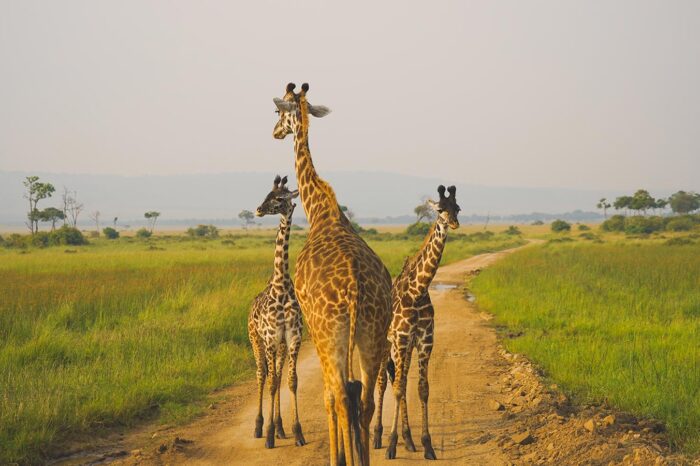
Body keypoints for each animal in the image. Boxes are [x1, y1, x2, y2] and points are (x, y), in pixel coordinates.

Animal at [273, 82, 393, 466]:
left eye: (277, 112)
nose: (275, 132)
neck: (321, 212)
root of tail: (354, 292)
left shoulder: (312, 329)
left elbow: (327, 397)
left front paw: (337, 456)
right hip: (372, 334)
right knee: (364, 400)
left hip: (331, 336)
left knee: (340, 396)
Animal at [374, 185, 461, 460]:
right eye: (440, 209)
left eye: (458, 207)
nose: (453, 223)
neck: (418, 290)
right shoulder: (402, 339)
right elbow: (399, 387)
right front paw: (391, 445)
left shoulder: (424, 340)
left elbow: (421, 388)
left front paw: (427, 444)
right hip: (386, 345)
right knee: (383, 383)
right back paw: (377, 436)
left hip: (403, 349)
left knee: (397, 379)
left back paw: (409, 440)